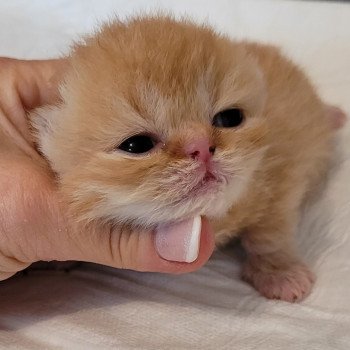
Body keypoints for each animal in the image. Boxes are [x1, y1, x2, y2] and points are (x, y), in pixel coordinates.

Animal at [31, 15, 346, 300]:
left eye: (229, 118)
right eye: (136, 145)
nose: (201, 146)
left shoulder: (283, 175)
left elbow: (271, 231)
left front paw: (279, 272)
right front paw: (60, 257)